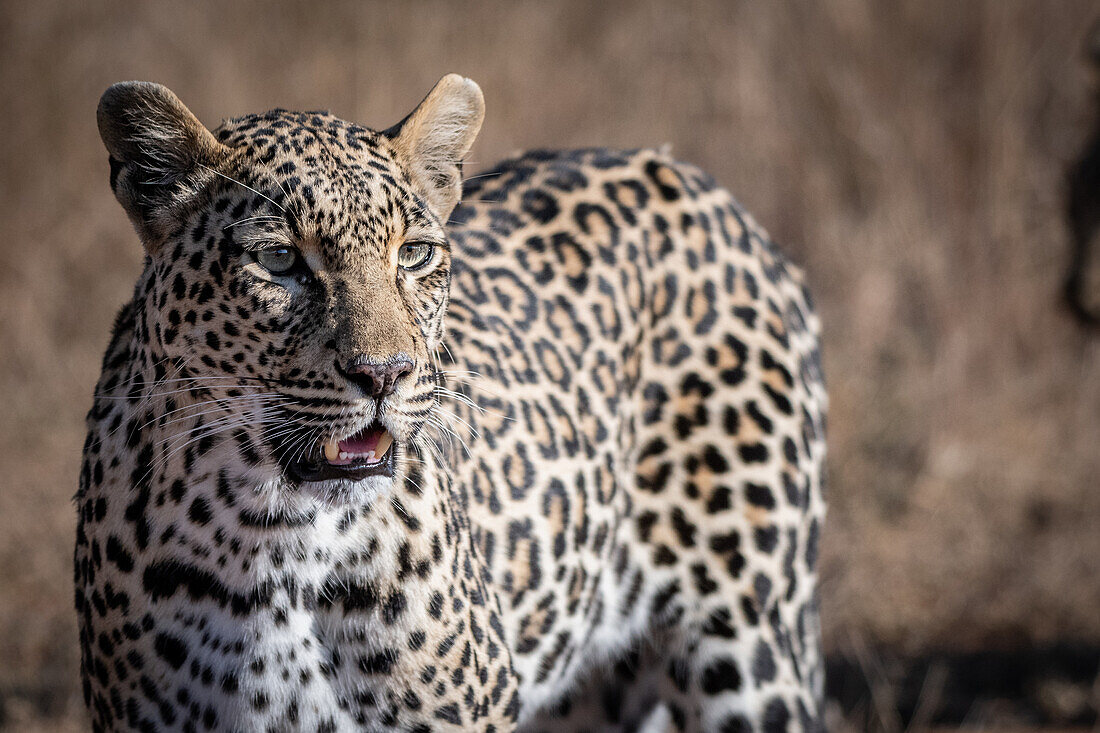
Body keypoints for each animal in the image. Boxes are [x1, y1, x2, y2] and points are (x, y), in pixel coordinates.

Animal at [75, 75, 827, 730]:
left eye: (413, 255)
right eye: (280, 260)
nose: (385, 374)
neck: (278, 544)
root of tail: (695, 182)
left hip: (752, 644)